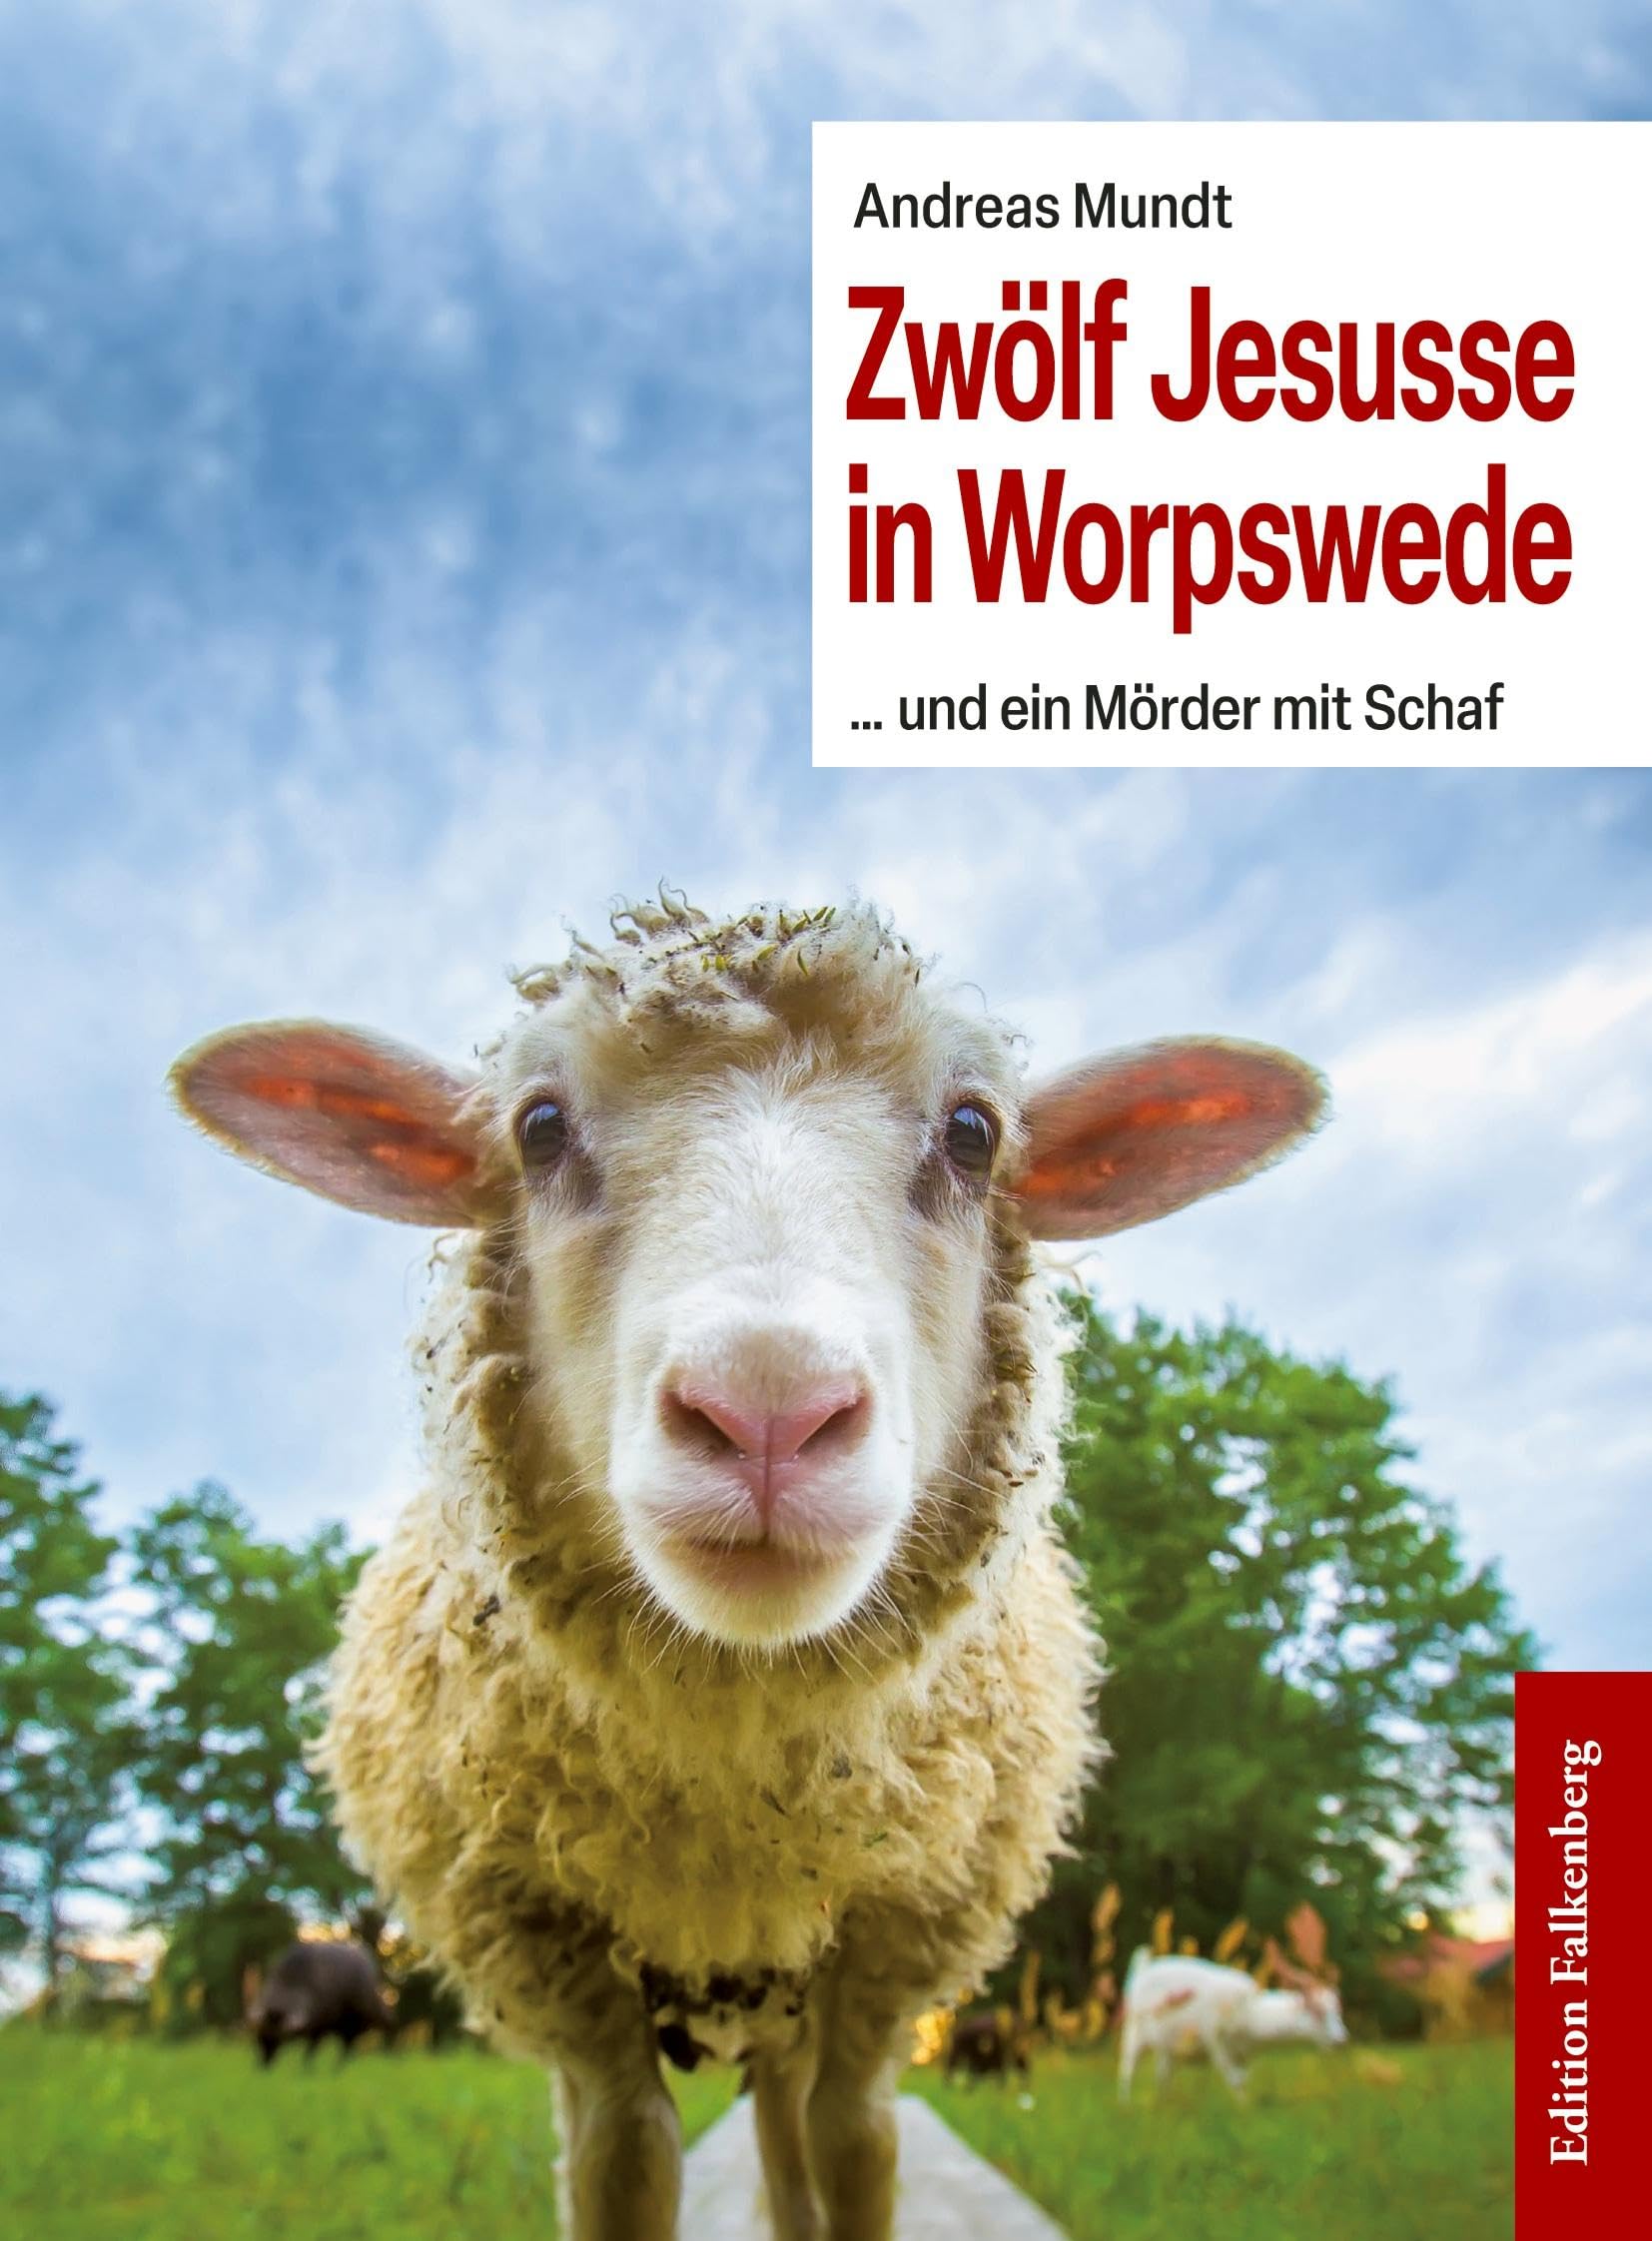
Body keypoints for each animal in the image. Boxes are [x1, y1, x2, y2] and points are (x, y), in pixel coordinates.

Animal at [171, 893, 1324, 2241]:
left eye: (974, 1133)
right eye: (538, 1127)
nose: (768, 1408)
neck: (732, 1793)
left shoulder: (891, 1949)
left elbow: (856, 2146)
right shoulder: (557, 1963)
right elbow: (625, 2161)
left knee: (792, 2131)